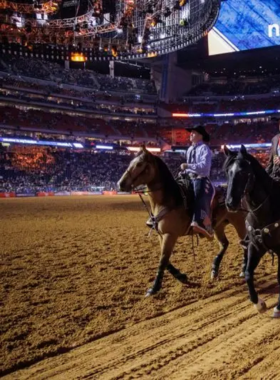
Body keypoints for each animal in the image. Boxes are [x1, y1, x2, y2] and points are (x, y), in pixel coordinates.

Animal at [117, 146, 247, 296]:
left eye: (139, 164)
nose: (120, 184)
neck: (168, 200)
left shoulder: (170, 235)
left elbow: (163, 260)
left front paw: (154, 288)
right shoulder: (161, 235)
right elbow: (165, 259)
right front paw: (182, 277)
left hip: (240, 223)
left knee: (245, 244)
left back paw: (244, 271)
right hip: (218, 226)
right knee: (224, 244)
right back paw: (214, 270)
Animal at [224, 145, 280, 318]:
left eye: (243, 172)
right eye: (227, 172)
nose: (230, 203)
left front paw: (278, 307)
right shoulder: (255, 246)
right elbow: (248, 273)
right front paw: (258, 303)